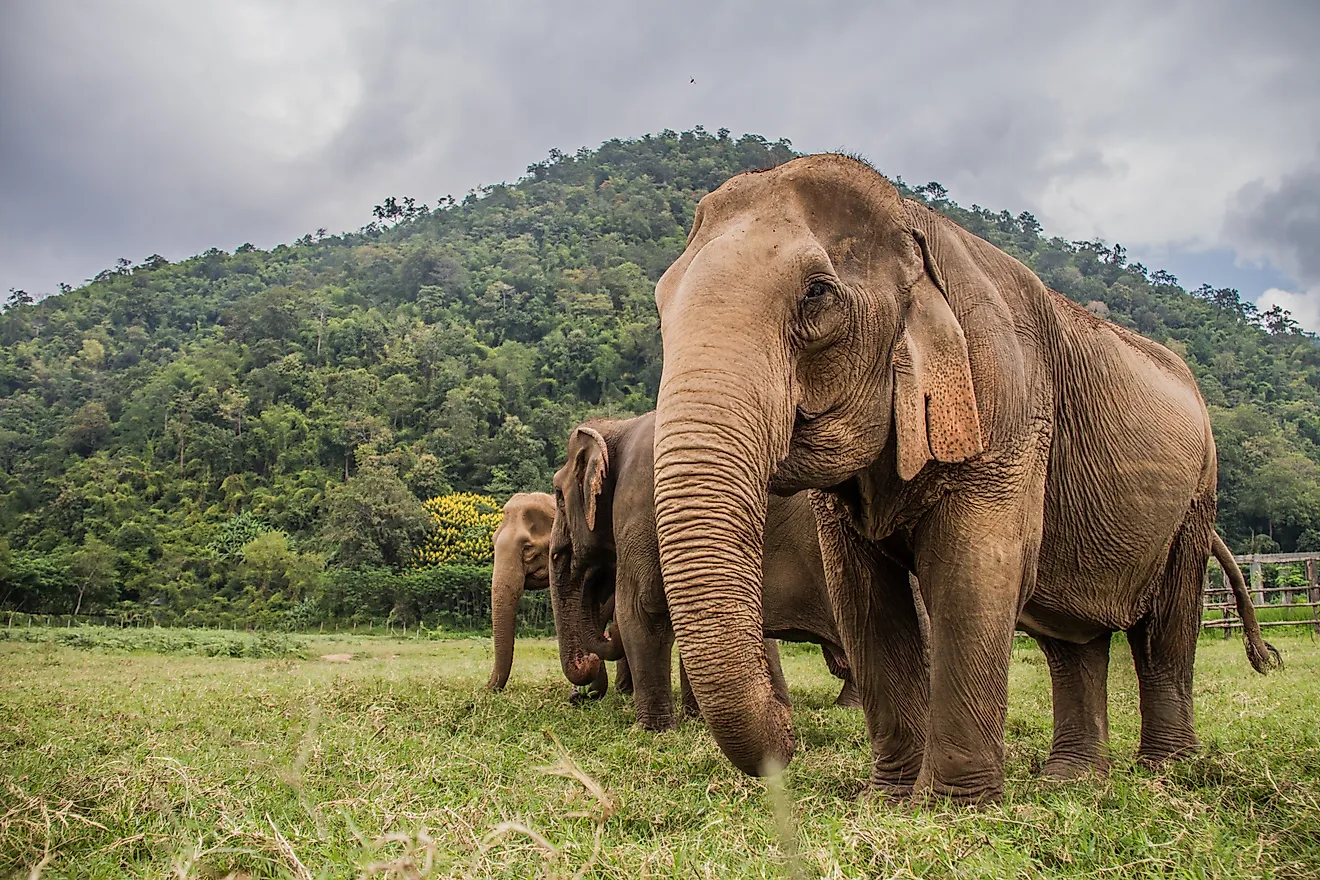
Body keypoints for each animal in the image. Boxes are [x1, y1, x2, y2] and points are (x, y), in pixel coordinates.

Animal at [548, 411, 860, 732]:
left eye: (558, 494)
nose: (578, 695)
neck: (621, 426)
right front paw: (695, 719)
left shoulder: (640, 501)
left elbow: (641, 607)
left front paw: (654, 730)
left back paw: (847, 707)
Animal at [647, 153, 1280, 803]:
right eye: (661, 303)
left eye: (817, 293)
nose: (788, 726)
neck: (911, 227)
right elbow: (861, 594)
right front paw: (890, 800)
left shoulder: (1008, 400)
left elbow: (972, 572)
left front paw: (949, 806)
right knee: (1072, 641)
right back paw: (1070, 780)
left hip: (1196, 499)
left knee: (1164, 632)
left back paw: (1165, 773)